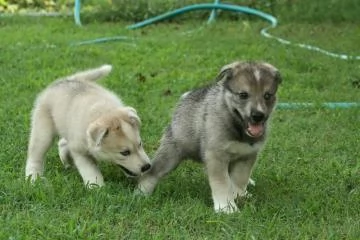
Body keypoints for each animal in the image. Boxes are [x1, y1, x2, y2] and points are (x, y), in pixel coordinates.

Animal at [137, 61, 282, 213]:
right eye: (243, 95)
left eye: (267, 95)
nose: (258, 116)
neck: (236, 126)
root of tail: (185, 97)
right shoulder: (216, 156)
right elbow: (222, 182)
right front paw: (226, 208)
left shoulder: (247, 155)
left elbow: (239, 178)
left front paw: (238, 195)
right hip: (172, 152)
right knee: (152, 172)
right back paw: (141, 193)